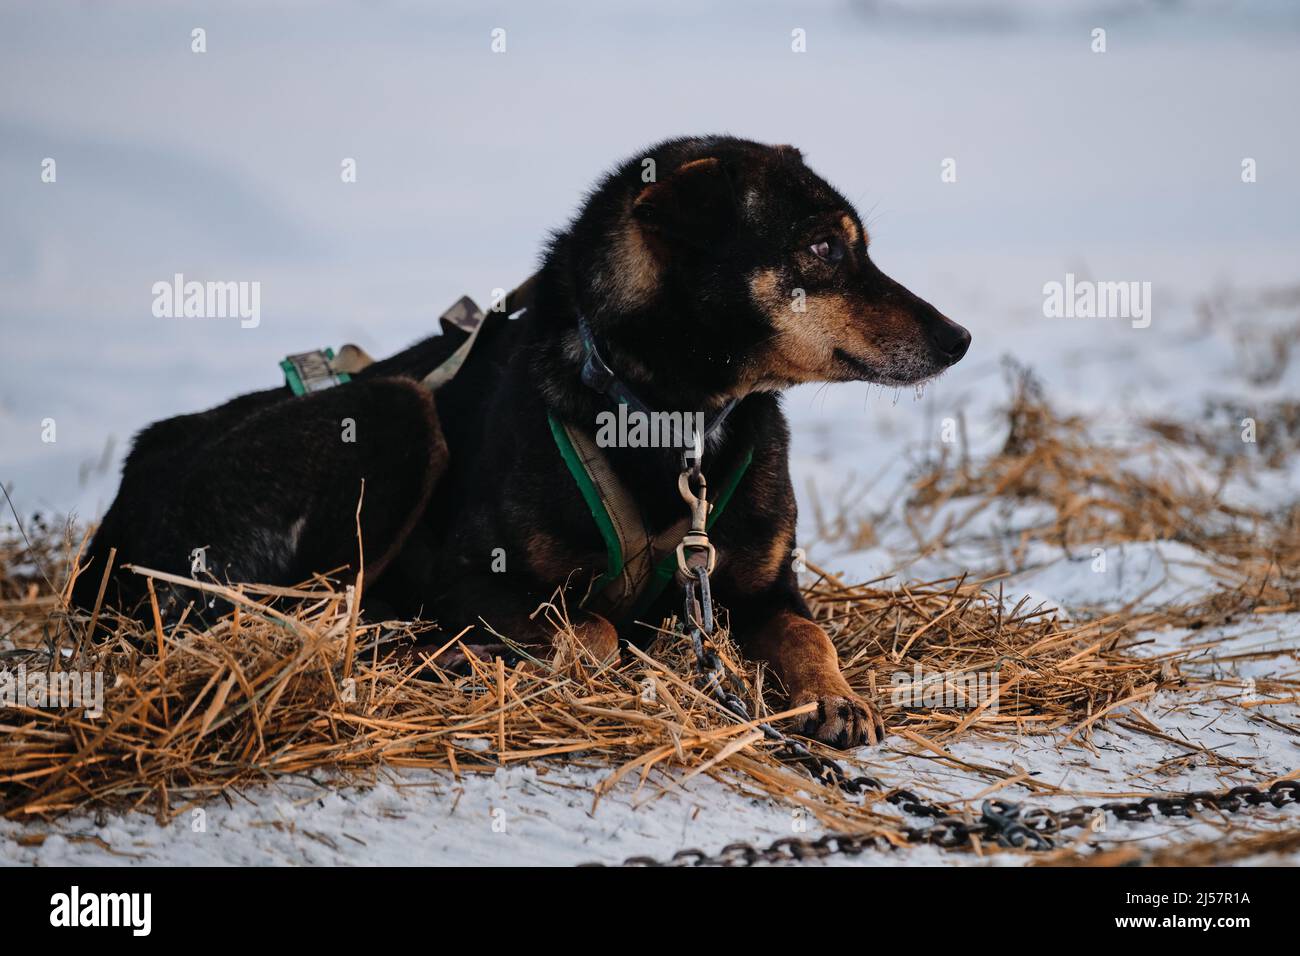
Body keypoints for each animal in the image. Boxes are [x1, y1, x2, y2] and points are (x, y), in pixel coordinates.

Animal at [71, 136, 967, 749]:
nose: (958, 338)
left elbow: (809, 633)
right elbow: (592, 631)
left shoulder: (761, 587)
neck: (669, 418)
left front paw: (836, 696)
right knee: (320, 613)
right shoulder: (475, 582)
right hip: (394, 412)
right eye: (822, 247)